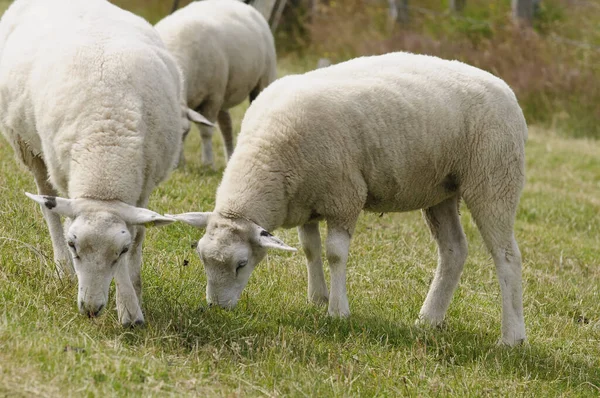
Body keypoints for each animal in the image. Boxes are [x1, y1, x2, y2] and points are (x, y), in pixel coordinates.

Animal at [0, 0, 211, 326]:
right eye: (74, 245)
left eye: (119, 251)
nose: (90, 309)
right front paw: (129, 311)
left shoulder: (143, 186)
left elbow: (136, 238)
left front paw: (131, 301)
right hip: (31, 150)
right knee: (49, 208)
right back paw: (63, 270)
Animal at [155, 0, 276, 166]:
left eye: (186, 132)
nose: (174, 166)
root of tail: (241, 4)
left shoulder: (213, 97)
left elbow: (206, 131)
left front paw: (208, 163)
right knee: (226, 125)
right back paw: (229, 156)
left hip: (264, 79)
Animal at [170, 52, 528, 346]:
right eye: (201, 258)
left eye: (241, 264)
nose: (217, 308)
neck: (268, 156)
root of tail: (506, 90)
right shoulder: (306, 200)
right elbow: (310, 249)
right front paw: (316, 298)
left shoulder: (344, 196)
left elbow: (334, 254)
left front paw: (337, 311)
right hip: (441, 189)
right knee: (454, 250)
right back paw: (428, 319)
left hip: (494, 178)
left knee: (507, 257)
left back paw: (511, 338)